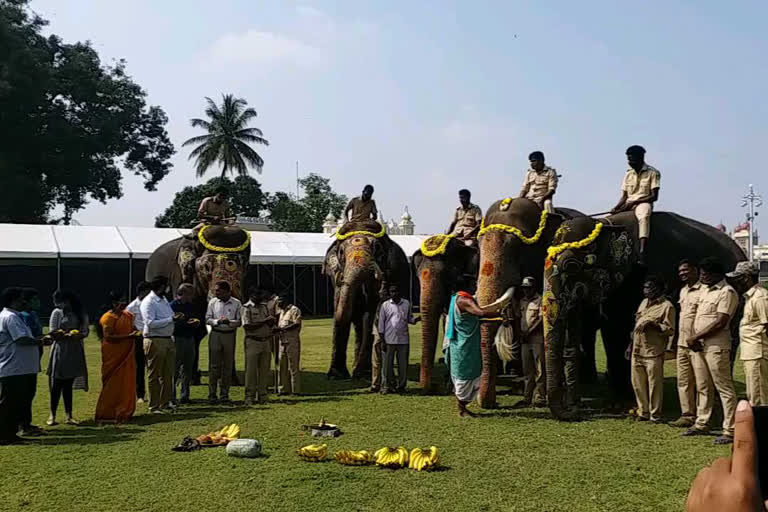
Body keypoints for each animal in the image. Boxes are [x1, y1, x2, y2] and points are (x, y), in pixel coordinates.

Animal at [322, 225, 412, 380]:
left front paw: (362, 374)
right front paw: (336, 376)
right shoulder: (336, 279)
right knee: (358, 322)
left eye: (377, 249)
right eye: (341, 252)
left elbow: (371, 313)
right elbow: (342, 309)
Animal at [540, 210, 744, 418]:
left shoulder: (640, 274)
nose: (574, 409)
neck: (607, 223)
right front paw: (617, 403)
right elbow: (611, 329)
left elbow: (620, 328)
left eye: (572, 266)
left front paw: (622, 403)